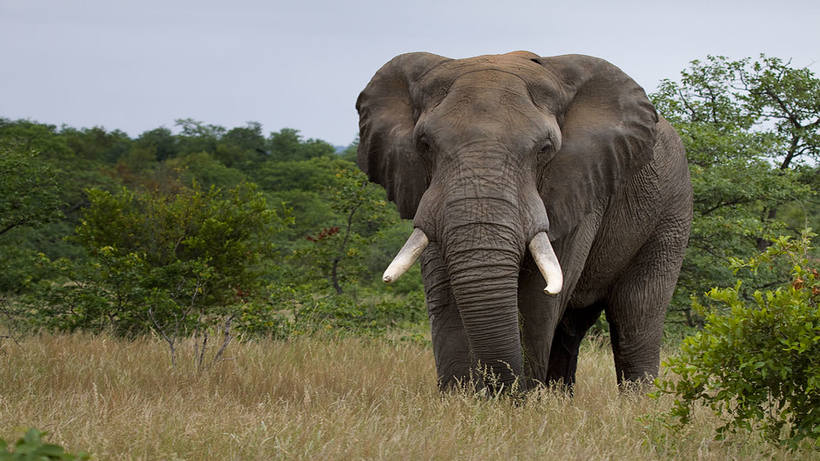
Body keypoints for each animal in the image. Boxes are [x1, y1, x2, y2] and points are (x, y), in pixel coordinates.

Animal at [358, 51, 692, 392]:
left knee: (636, 313)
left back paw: (637, 401)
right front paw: (460, 396)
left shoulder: (579, 185)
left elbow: (537, 297)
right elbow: (443, 289)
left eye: (545, 149)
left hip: (671, 211)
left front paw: (516, 398)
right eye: (424, 145)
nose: (496, 386)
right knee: (572, 328)